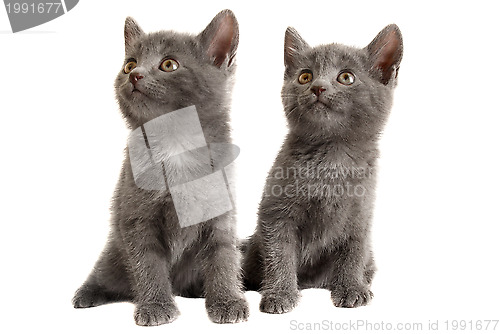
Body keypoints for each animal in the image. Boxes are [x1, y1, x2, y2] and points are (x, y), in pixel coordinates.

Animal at [242, 24, 402, 314]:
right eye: (305, 76)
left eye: (346, 77)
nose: (318, 87)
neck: (332, 156)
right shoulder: (275, 212)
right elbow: (279, 253)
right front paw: (280, 294)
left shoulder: (360, 214)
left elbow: (353, 251)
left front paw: (351, 288)